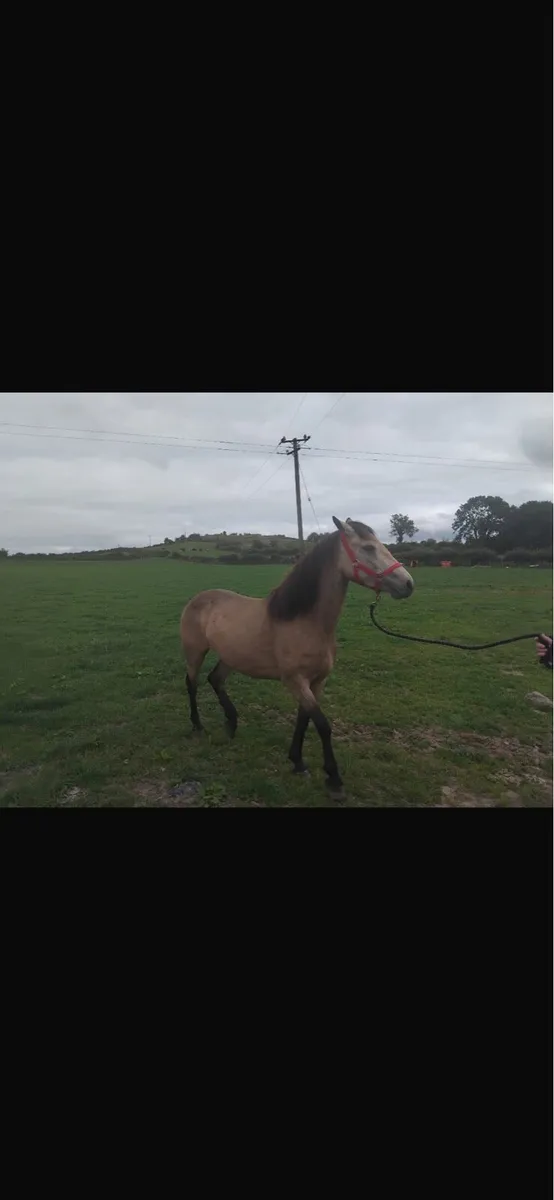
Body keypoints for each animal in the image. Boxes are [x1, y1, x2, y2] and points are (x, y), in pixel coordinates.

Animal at [180, 517, 414, 796]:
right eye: (368, 548)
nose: (408, 584)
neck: (304, 621)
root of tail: (198, 598)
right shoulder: (295, 681)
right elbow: (322, 724)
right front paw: (333, 779)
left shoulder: (317, 682)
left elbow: (304, 719)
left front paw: (297, 761)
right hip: (195, 652)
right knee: (192, 684)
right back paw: (197, 725)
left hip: (231, 657)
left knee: (215, 680)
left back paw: (231, 723)